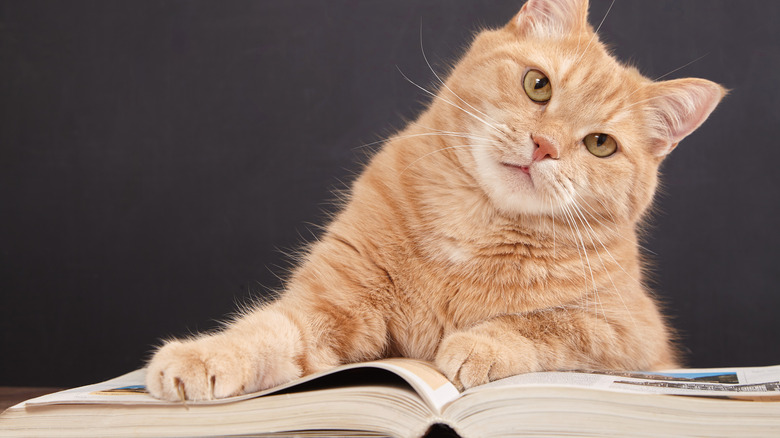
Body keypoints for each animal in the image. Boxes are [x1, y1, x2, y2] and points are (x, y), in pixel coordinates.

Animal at [145, 0, 724, 402]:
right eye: (538, 85)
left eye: (601, 144)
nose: (545, 146)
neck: (476, 226)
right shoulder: (329, 305)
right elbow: (266, 331)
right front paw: (203, 356)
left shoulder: (634, 338)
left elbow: (551, 325)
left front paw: (480, 344)